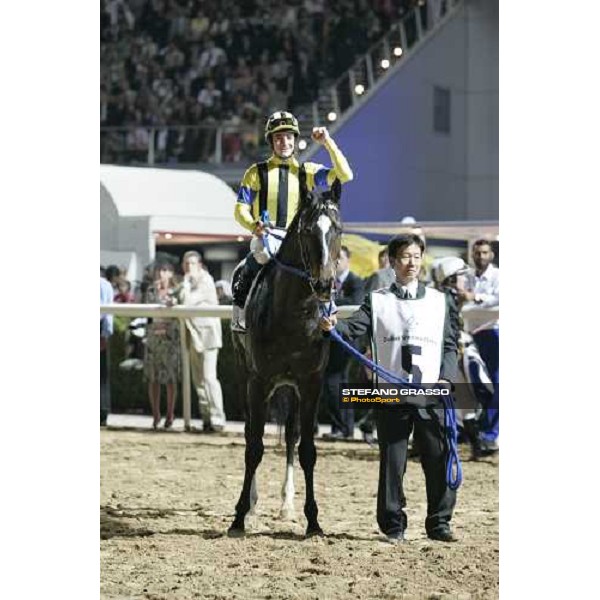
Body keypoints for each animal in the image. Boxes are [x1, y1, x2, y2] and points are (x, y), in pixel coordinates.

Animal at [229, 176, 342, 536]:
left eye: (338, 229)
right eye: (307, 231)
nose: (324, 284)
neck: (295, 315)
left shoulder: (311, 383)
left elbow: (307, 449)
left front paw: (313, 520)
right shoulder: (258, 381)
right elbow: (254, 446)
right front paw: (239, 516)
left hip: (290, 387)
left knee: (291, 436)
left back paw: (286, 505)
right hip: (244, 373)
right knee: (251, 431)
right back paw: (252, 506)